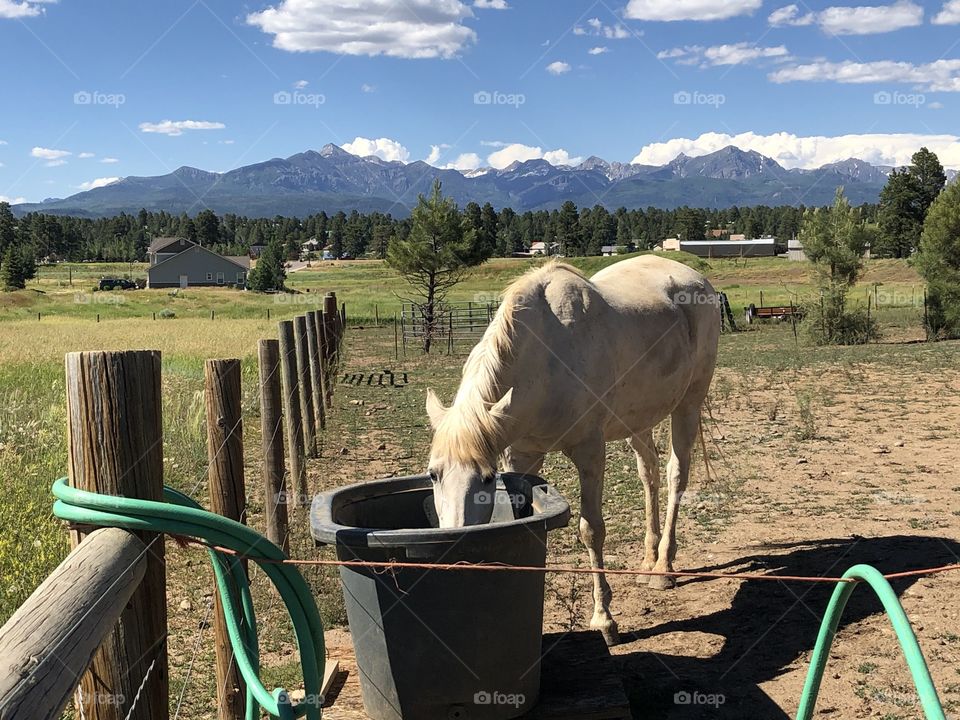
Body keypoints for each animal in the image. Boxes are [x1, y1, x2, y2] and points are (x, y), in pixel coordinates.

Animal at [424, 256, 716, 644]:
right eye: (433, 474)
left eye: (486, 477)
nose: (451, 547)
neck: (545, 359)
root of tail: (696, 278)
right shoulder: (523, 455)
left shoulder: (589, 451)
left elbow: (591, 530)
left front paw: (604, 620)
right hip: (637, 421)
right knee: (649, 473)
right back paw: (647, 560)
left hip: (688, 404)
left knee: (676, 475)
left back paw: (663, 569)